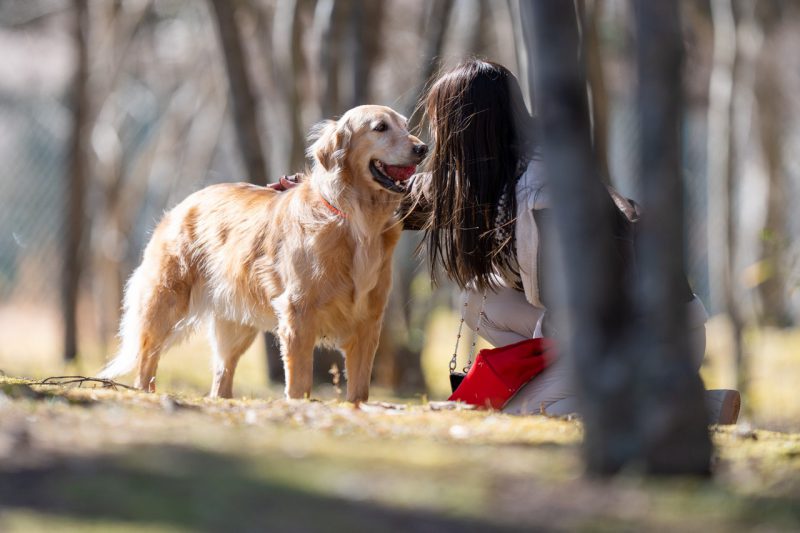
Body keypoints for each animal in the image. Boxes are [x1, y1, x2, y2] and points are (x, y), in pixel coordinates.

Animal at [99, 106, 428, 402]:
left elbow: (359, 391)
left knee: (221, 375)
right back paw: (144, 393)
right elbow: (300, 382)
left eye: (404, 124)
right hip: (165, 303)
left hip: (236, 325)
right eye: (380, 127)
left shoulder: (368, 322)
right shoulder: (298, 314)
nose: (423, 148)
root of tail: (182, 205)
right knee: (147, 359)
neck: (356, 220)